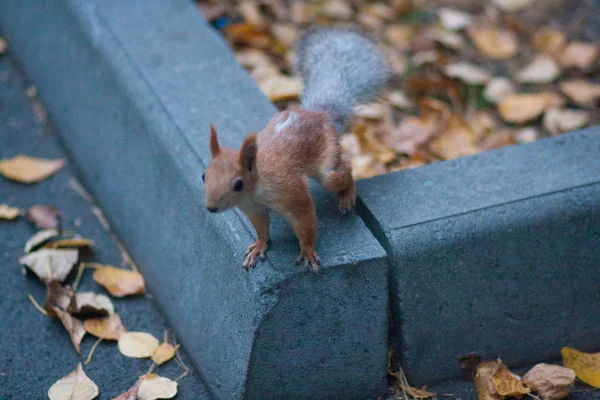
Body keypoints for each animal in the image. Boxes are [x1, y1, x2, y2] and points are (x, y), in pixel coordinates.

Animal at [203, 27, 390, 272]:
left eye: (238, 184)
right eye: (204, 176)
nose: (211, 208)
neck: (258, 185)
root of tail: (320, 115)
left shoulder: (290, 194)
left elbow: (305, 222)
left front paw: (308, 252)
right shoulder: (253, 208)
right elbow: (261, 228)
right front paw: (259, 245)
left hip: (328, 165)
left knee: (345, 168)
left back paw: (346, 195)